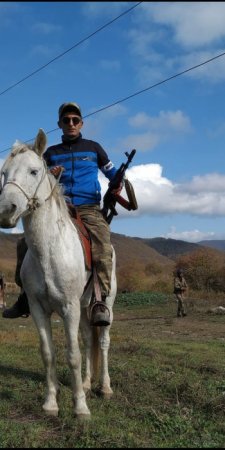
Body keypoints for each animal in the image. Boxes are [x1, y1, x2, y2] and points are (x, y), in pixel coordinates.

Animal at [0, 130, 116, 418]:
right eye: (4, 173)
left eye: (33, 171)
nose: (6, 211)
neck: (49, 250)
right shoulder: (38, 308)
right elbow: (48, 353)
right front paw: (51, 403)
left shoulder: (69, 307)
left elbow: (73, 355)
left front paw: (80, 408)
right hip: (86, 307)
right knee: (88, 339)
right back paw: (86, 384)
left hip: (105, 305)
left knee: (103, 342)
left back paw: (104, 387)